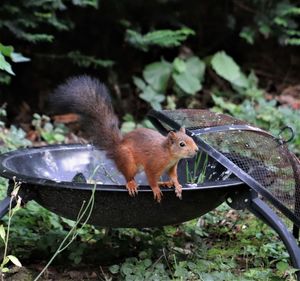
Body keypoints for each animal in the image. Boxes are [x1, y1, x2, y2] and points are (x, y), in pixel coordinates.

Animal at [50, 75, 198, 201]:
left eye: (192, 140)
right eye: (182, 144)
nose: (196, 150)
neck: (169, 154)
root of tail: (117, 147)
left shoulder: (172, 166)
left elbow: (173, 176)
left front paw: (177, 185)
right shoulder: (153, 163)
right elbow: (151, 178)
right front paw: (156, 189)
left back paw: (163, 183)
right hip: (128, 160)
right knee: (128, 176)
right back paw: (132, 184)